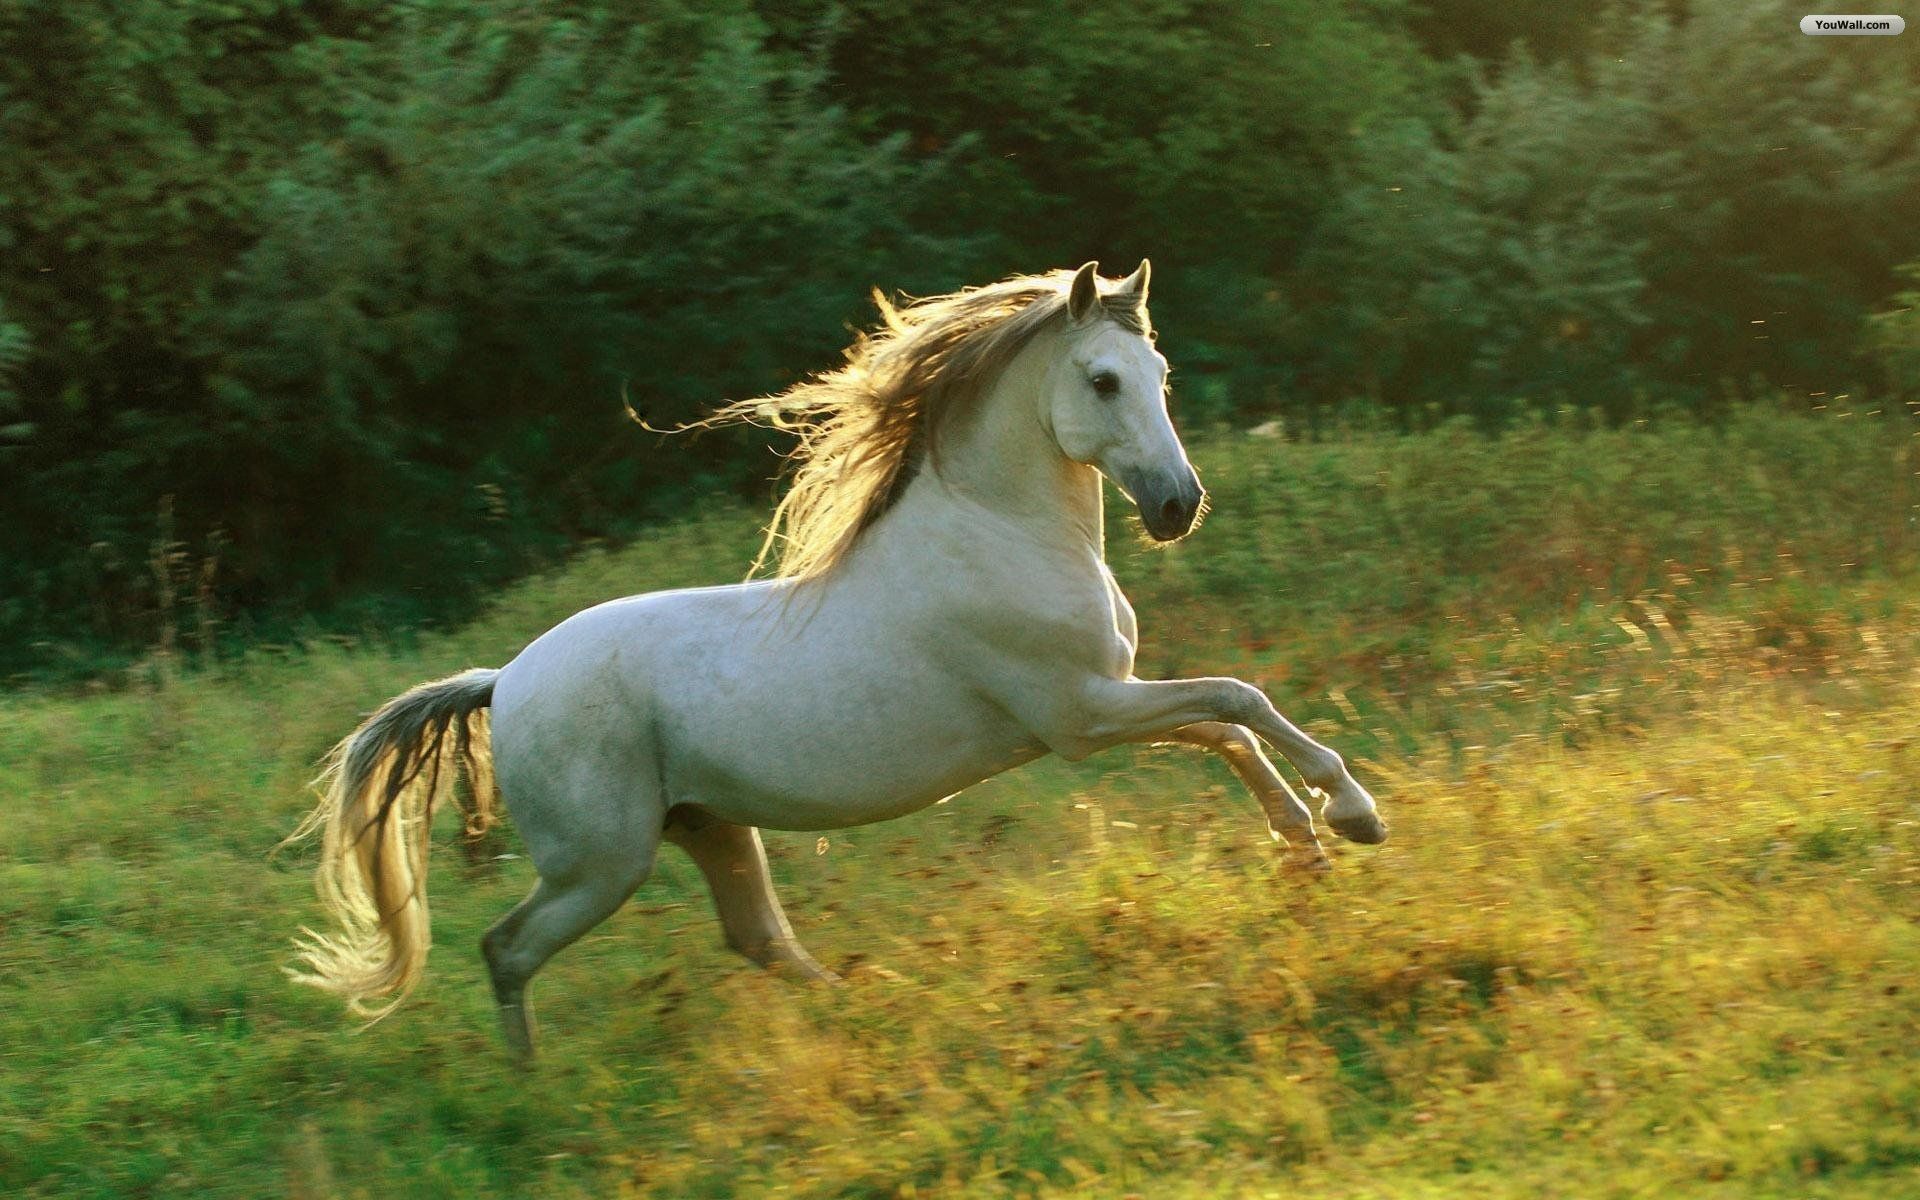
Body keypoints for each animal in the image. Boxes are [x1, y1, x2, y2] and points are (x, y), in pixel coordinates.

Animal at [284, 260, 1388, 1061]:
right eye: (1103, 380)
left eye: (1160, 378)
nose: (1176, 506)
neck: (999, 533)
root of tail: (502, 681)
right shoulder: (1081, 714)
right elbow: (1239, 701)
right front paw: (1352, 814)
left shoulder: (1103, 704)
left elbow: (1227, 728)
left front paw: (1307, 843)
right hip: (601, 862)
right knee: (507, 948)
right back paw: (533, 1084)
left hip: (707, 827)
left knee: (757, 939)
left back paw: (871, 1008)